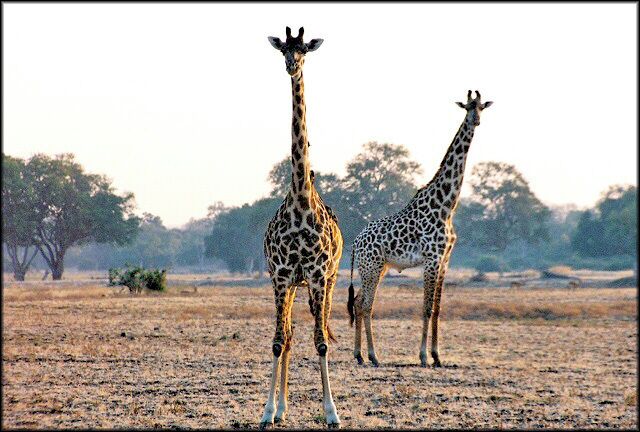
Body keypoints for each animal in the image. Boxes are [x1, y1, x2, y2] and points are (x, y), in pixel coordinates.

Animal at [347, 90, 493, 368]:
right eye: (467, 107)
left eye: (481, 107)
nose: (476, 121)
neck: (446, 205)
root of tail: (355, 242)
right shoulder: (431, 259)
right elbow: (426, 308)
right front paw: (424, 357)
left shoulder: (445, 260)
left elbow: (437, 309)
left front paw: (438, 357)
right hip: (371, 266)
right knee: (366, 305)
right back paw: (373, 356)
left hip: (378, 267)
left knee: (358, 302)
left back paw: (359, 355)